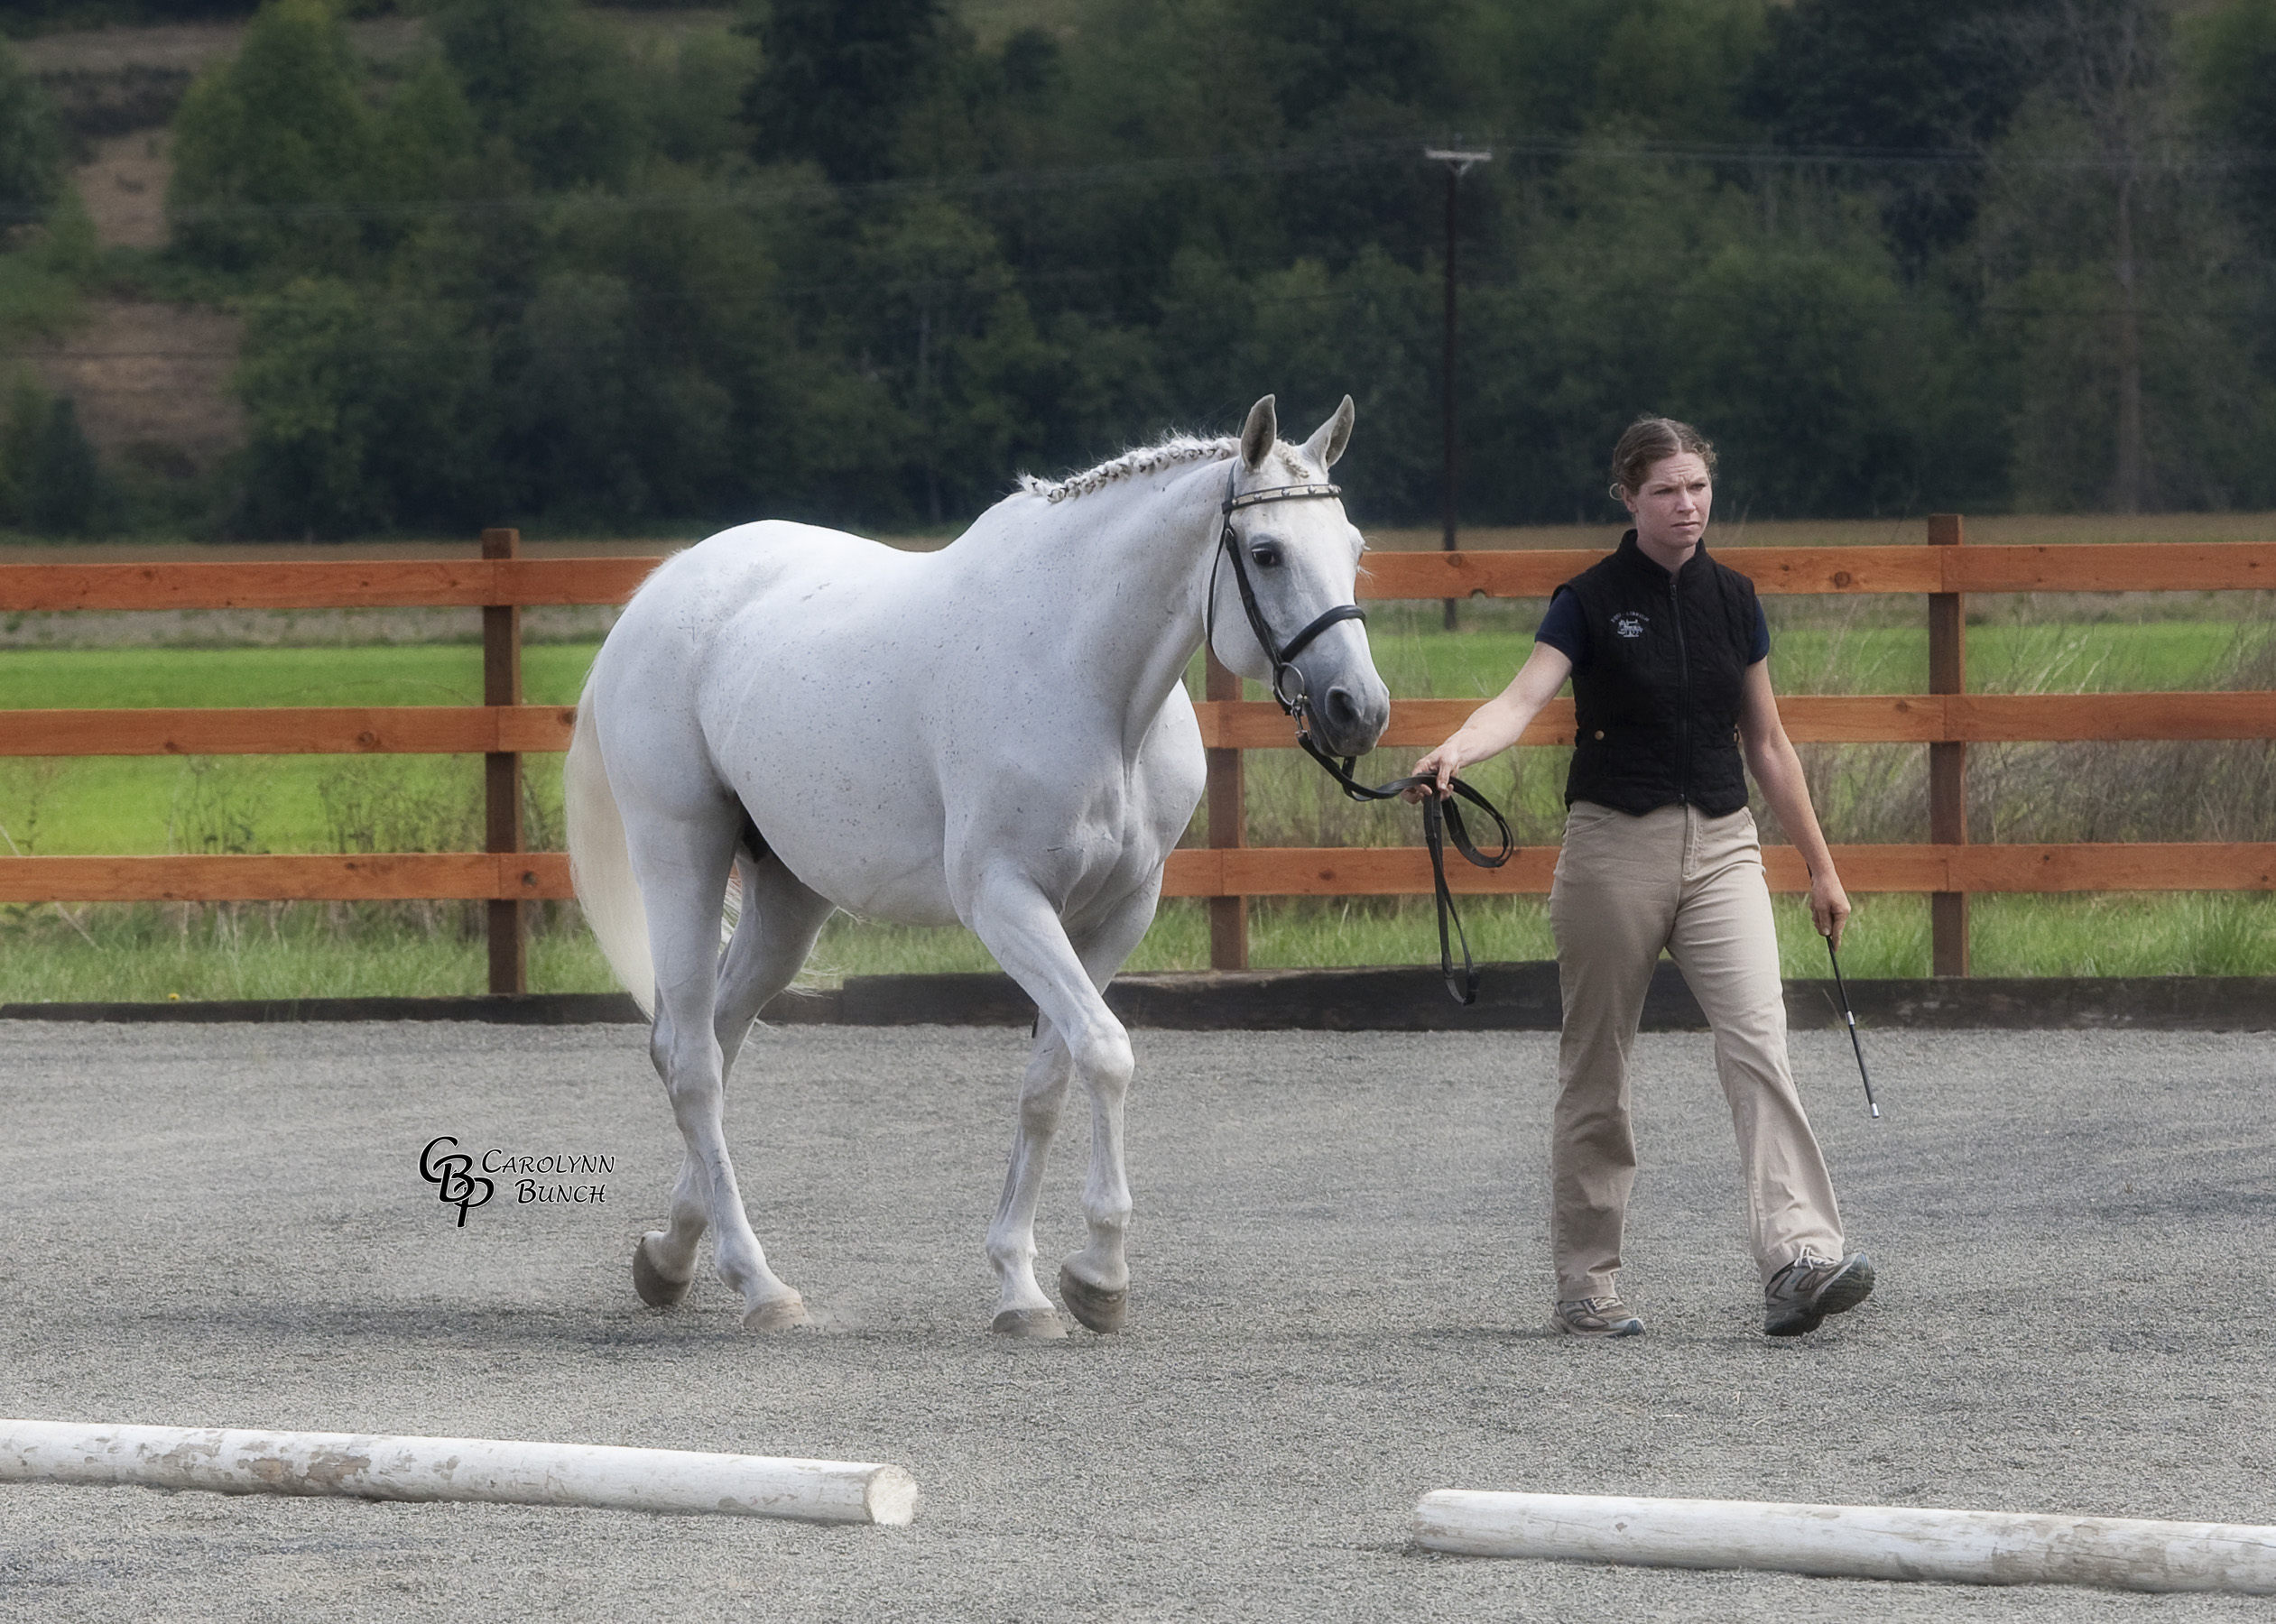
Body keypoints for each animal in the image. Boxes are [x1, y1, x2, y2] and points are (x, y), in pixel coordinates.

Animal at [566, 391, 1383, 1328]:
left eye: (1354, 547)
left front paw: (1026, 1286)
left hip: (788, 899)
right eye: (1266, 551)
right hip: (681, 855)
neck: (1086, 679)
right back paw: (760, 1284)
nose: (1358, 710)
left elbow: (1050, 1079)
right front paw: (1100, 1274)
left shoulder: (1119, 913)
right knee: (696, 1063)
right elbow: (1106, 1052)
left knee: (710, 1040)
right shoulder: (1004, 901)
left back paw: (672, 1255)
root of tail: (663, 591)